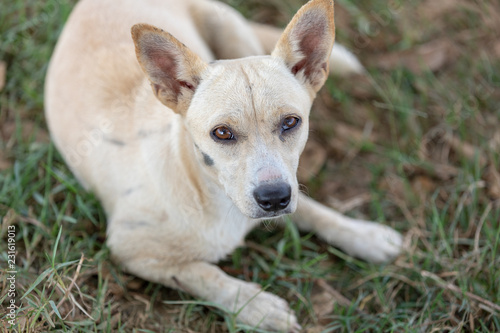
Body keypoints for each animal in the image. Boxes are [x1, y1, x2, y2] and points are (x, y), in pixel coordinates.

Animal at [46, 0, 402, 330]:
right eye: (221, 133)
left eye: (291, 122)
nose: (274, 198)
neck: (208, 192)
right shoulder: (130, 250)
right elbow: (204, 274)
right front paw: (258, 308)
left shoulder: (285, 186)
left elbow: (315, 210)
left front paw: (365, 235)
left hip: (232, 31)